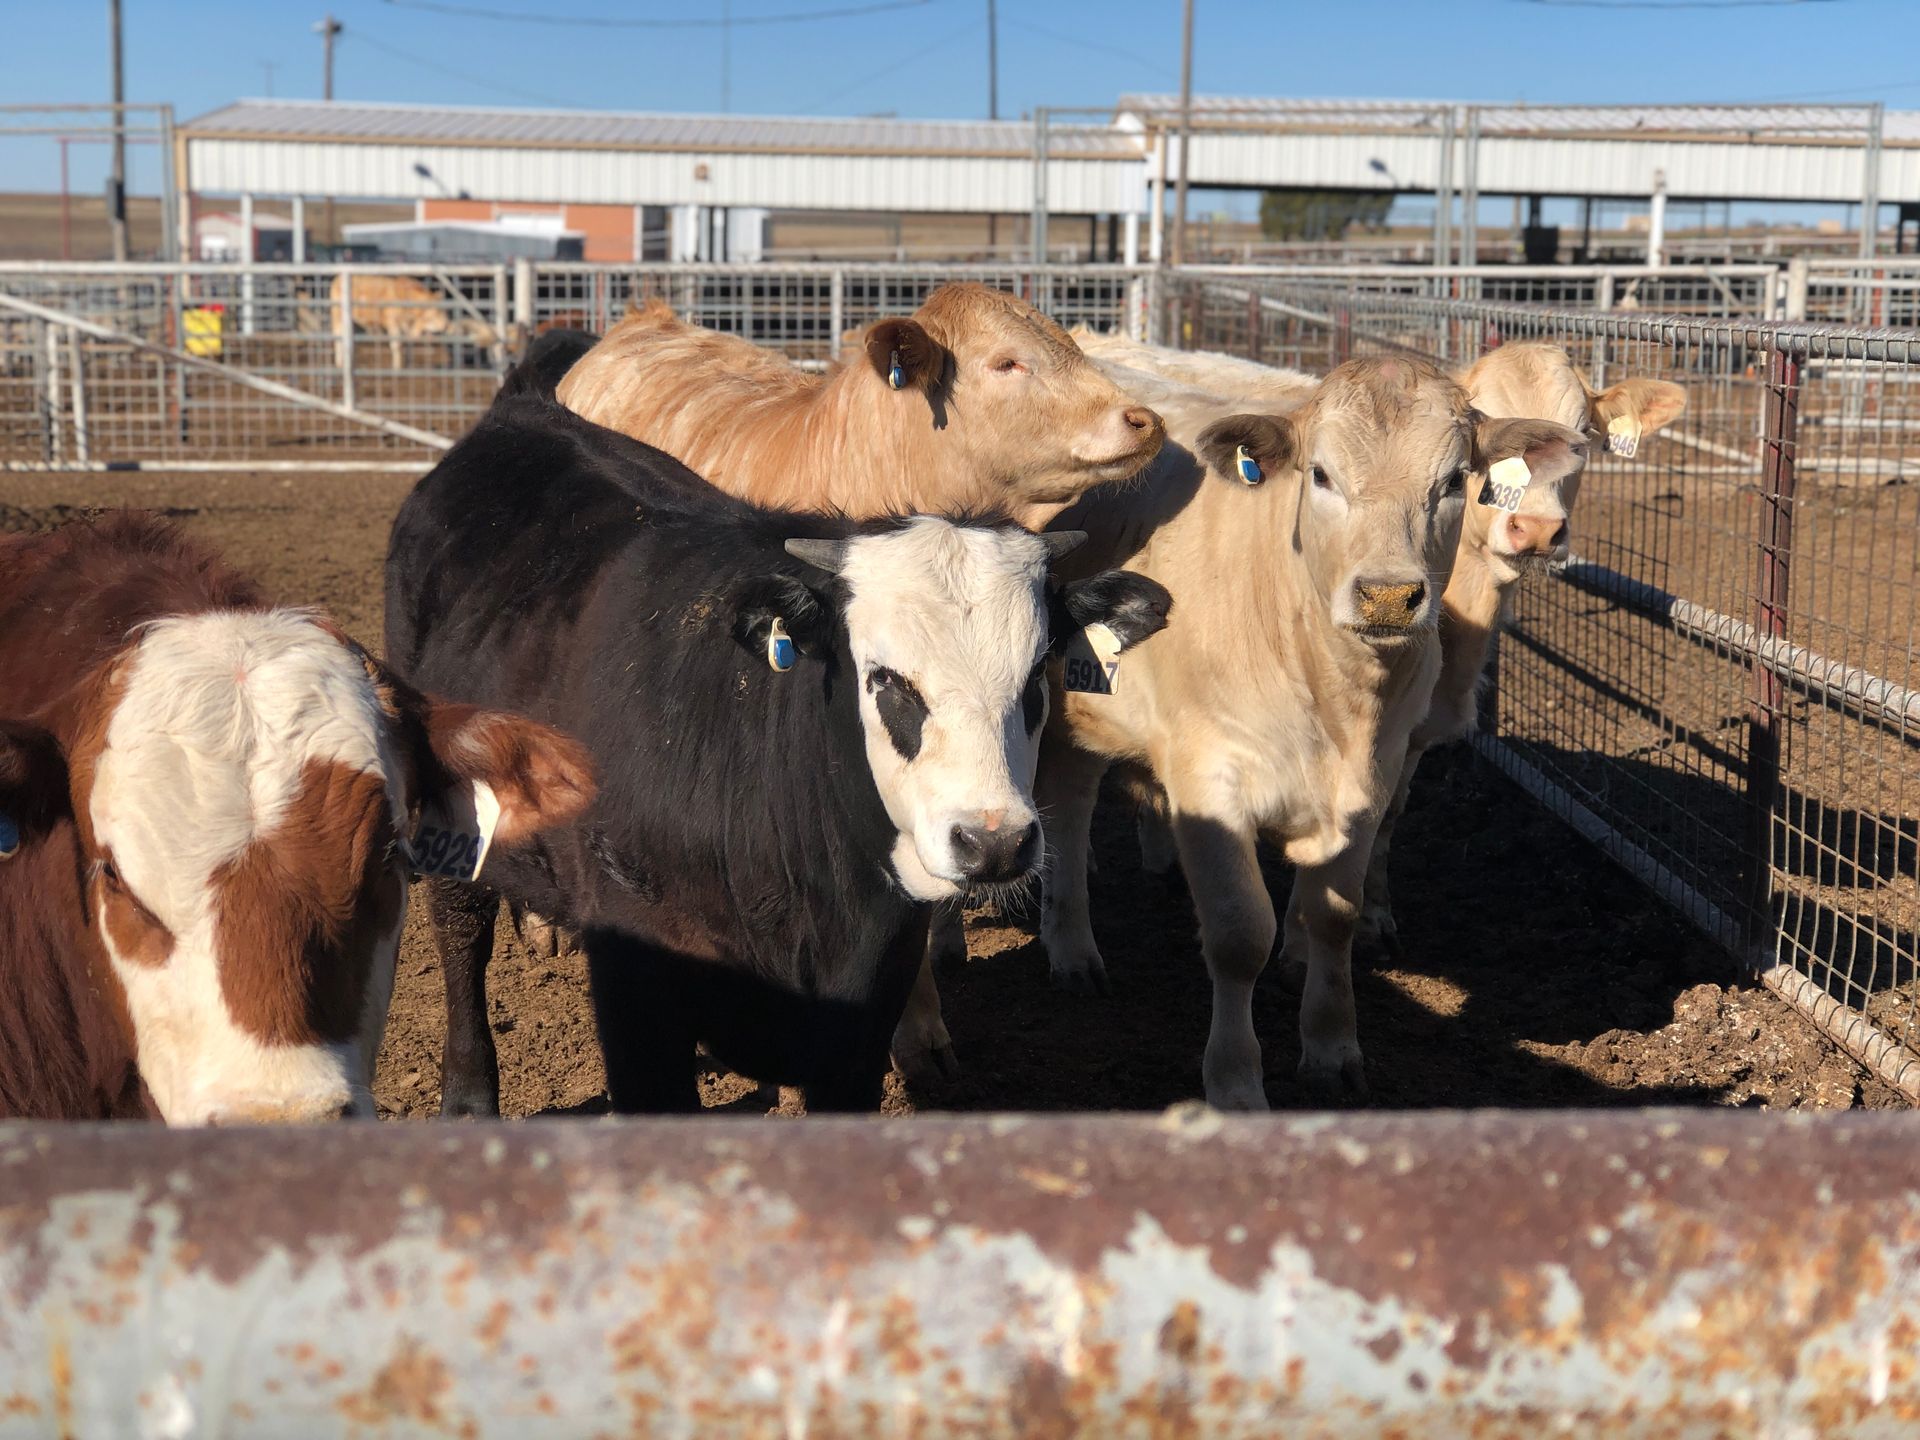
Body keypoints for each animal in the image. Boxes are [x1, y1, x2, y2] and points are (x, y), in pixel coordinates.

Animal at [383, 387, 1171, 1116]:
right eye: (884, 678)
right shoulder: (639, 1002)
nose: (994, 843)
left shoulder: (861, 1017)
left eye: (1038, 672)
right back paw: (468, 1094)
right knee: (462, 936)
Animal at [1027, 358, 1586, 1106]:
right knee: (1068, 807)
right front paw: (1235, 1082)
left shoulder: (1374, 780)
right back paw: (1072, 951)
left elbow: (1333, 917)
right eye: (1320, 475)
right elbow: (1239, 934)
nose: (1388, 596)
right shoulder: (1208, 776)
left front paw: (1331, 1048)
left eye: (1452, 483)